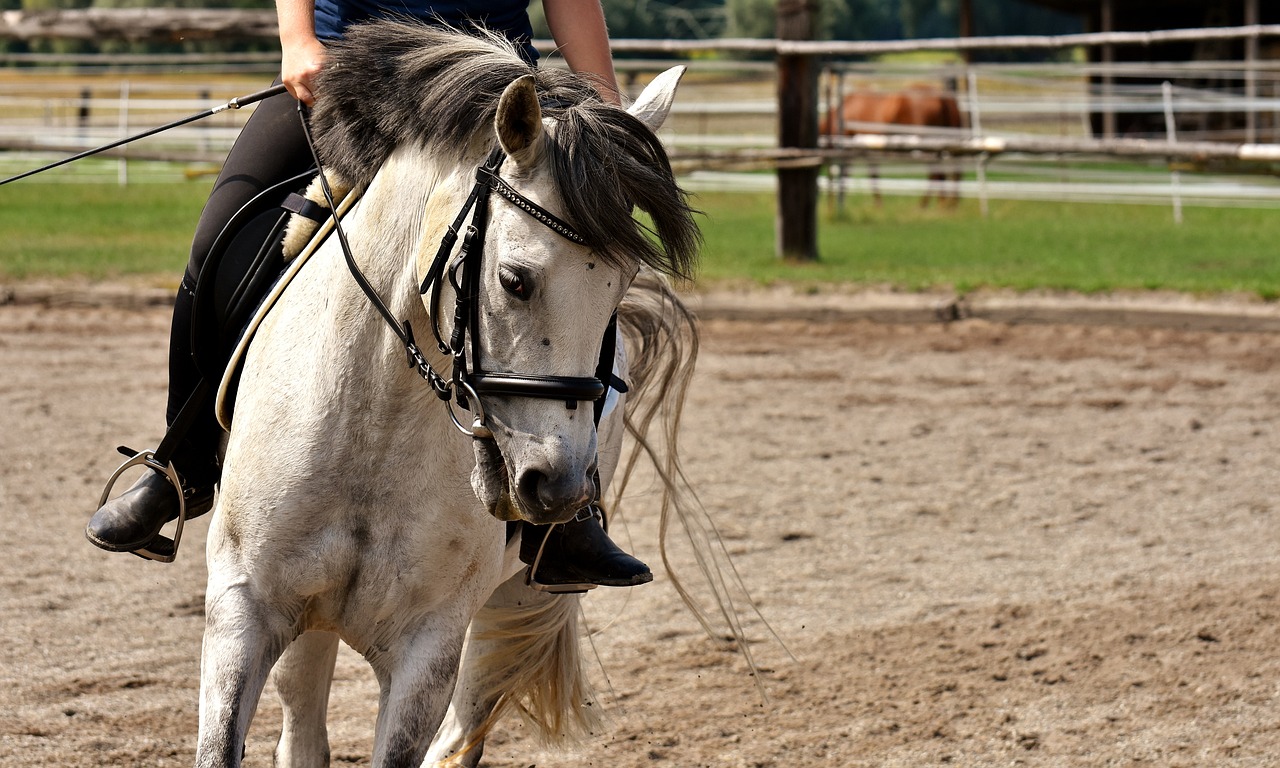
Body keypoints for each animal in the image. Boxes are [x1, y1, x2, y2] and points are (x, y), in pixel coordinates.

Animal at [819, 85, 962, 207]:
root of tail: (943, 97)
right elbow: (871, 175)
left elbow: (860, 175)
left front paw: (877, 204)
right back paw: (946, 203)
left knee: (935, 174)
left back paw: (925, 204)